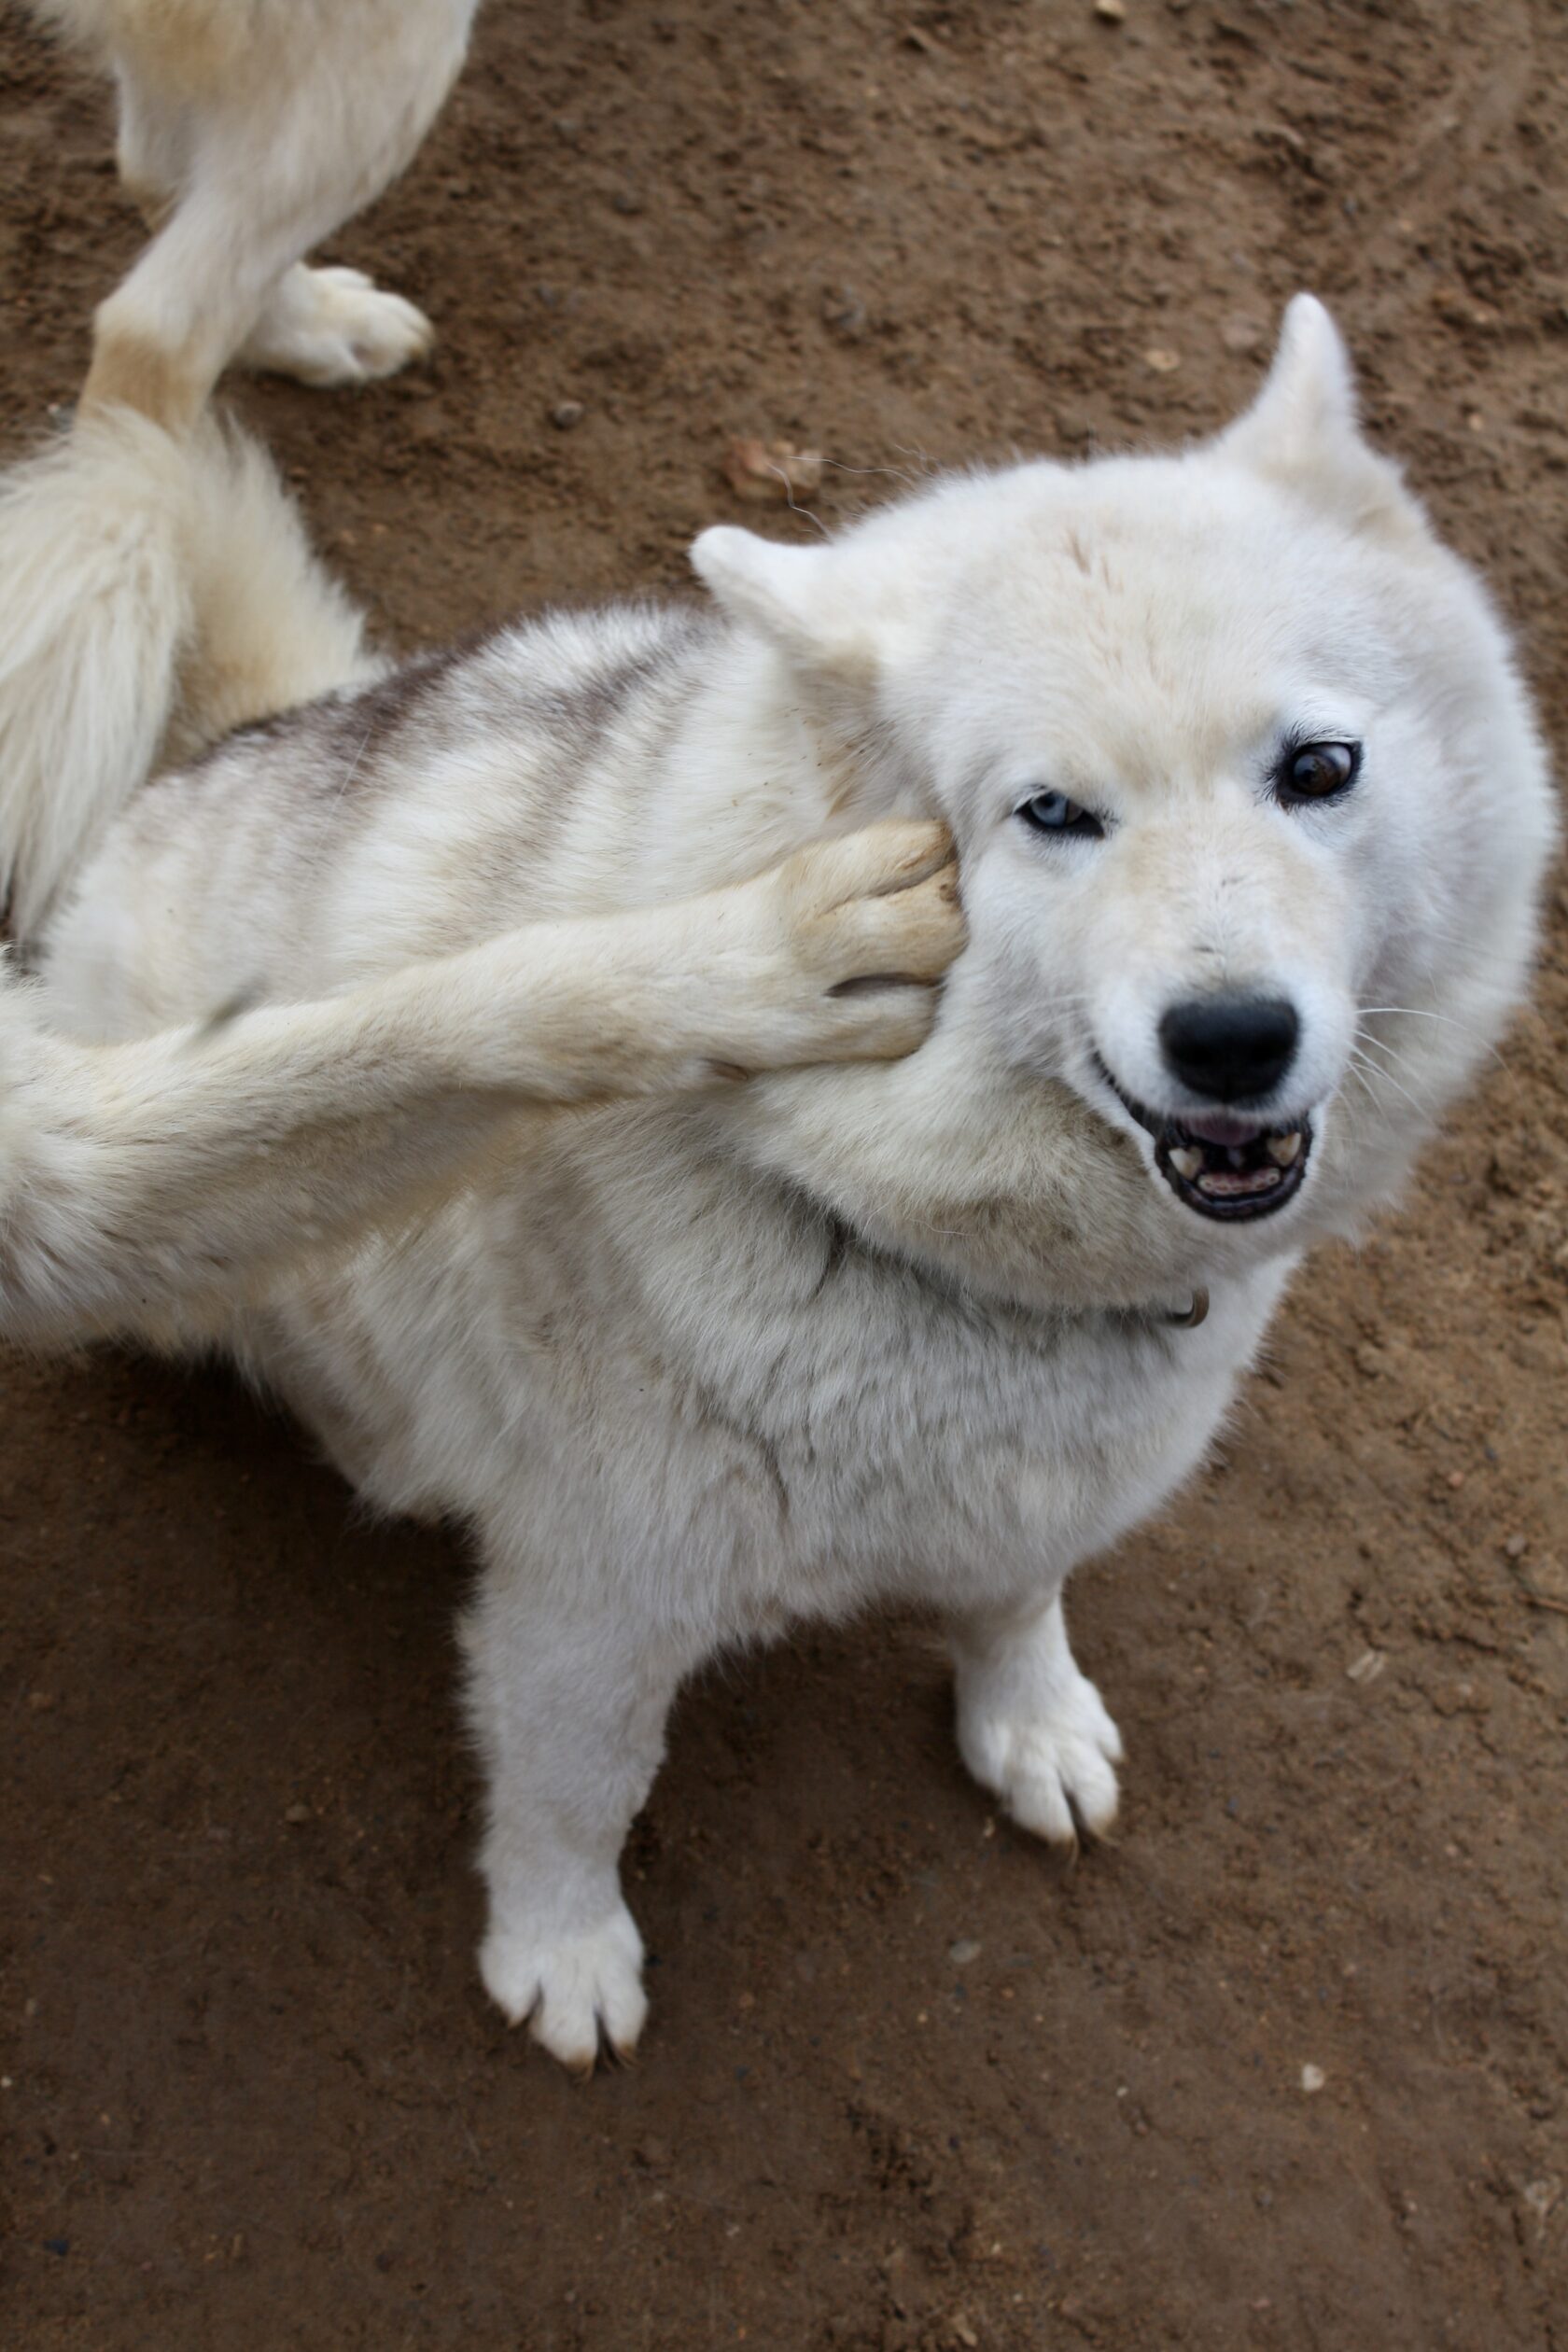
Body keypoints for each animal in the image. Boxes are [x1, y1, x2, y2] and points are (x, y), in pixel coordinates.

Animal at [3, 279, 1561, 2079]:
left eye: (1317, 769)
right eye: (1051, 814)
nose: (1233, 1039)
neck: (927, 1254)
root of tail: (250, 735)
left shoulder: (1038, 1488)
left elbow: (1019, 1595)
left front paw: (1028, 1720)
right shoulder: (595, 1600)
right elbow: (577, 1796)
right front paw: (562, 1954)